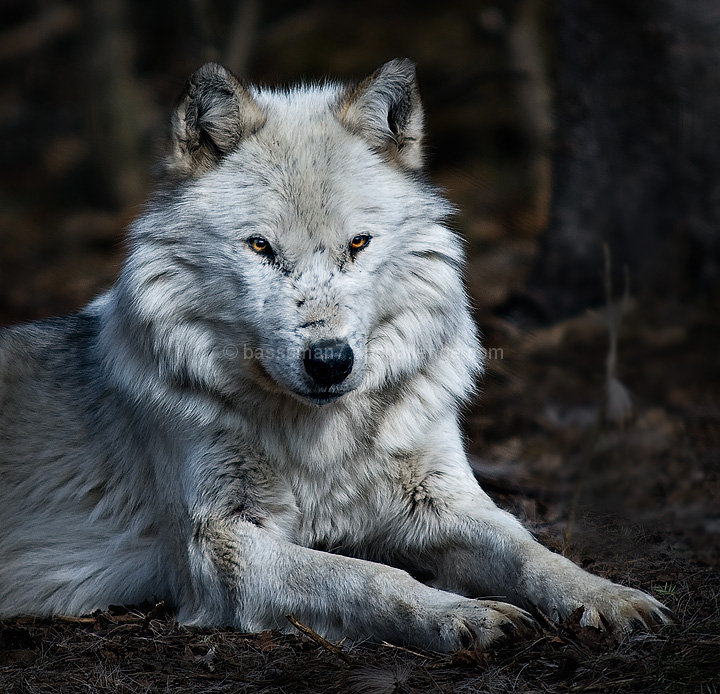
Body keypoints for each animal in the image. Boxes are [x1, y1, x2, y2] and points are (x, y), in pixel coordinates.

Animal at [0, 60, 672, 651]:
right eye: (261, 247)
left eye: (358, 243)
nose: (329, 361)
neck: (320, 442)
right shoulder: (218, 547)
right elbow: (370, 575)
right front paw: (461, 614)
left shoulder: (442, 499)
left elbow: (532, 550)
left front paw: (608, 596)